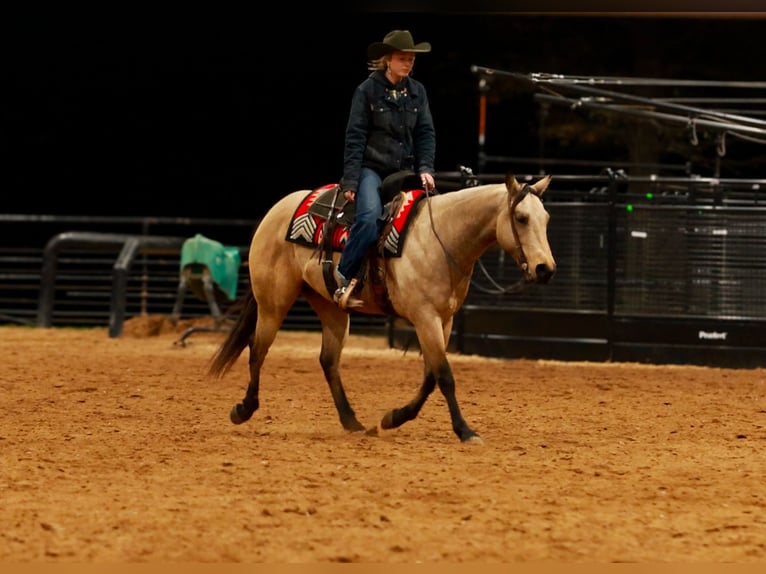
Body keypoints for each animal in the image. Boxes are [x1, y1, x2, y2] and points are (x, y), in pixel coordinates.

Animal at [207, 173, 556, 443]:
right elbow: (444, 376)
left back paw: (352, 422)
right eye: (522, 218)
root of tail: (277, 210)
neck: (440, 238)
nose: (545, 269)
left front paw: (393, 418)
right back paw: (243, 409)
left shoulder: (443, 320)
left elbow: (430, 376)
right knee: (257, 349)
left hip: (331, 308)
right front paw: (465, 430)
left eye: (546, 219)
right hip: (272, 302)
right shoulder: (425, 318)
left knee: (328, 361)